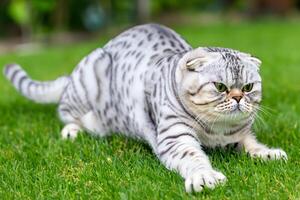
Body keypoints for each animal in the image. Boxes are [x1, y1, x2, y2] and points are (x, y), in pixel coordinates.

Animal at [3, 23, 288, 194]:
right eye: (220, 87)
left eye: (248, 87)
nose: (239, 98)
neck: (217, 129)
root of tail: (70, 77)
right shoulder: (175, 139)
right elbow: (194, 157)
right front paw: (204, 177)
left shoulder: (239, 135)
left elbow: (252, 144)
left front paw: (269, 153)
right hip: (85, 85)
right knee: (65, 111)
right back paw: (73, 130)